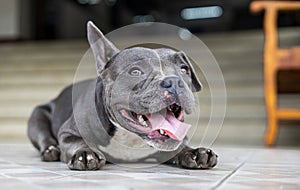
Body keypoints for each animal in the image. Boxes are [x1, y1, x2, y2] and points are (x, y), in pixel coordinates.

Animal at [27, 21, 218, 171]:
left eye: (184, 70)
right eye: (135, 71)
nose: (174, 81)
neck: (129, 137)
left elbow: (178, 146)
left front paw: (194, 152)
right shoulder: (67, 133)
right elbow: (77, 142)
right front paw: (85, 153)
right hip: (37, 117)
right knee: (44, 137)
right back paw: (51, 150)